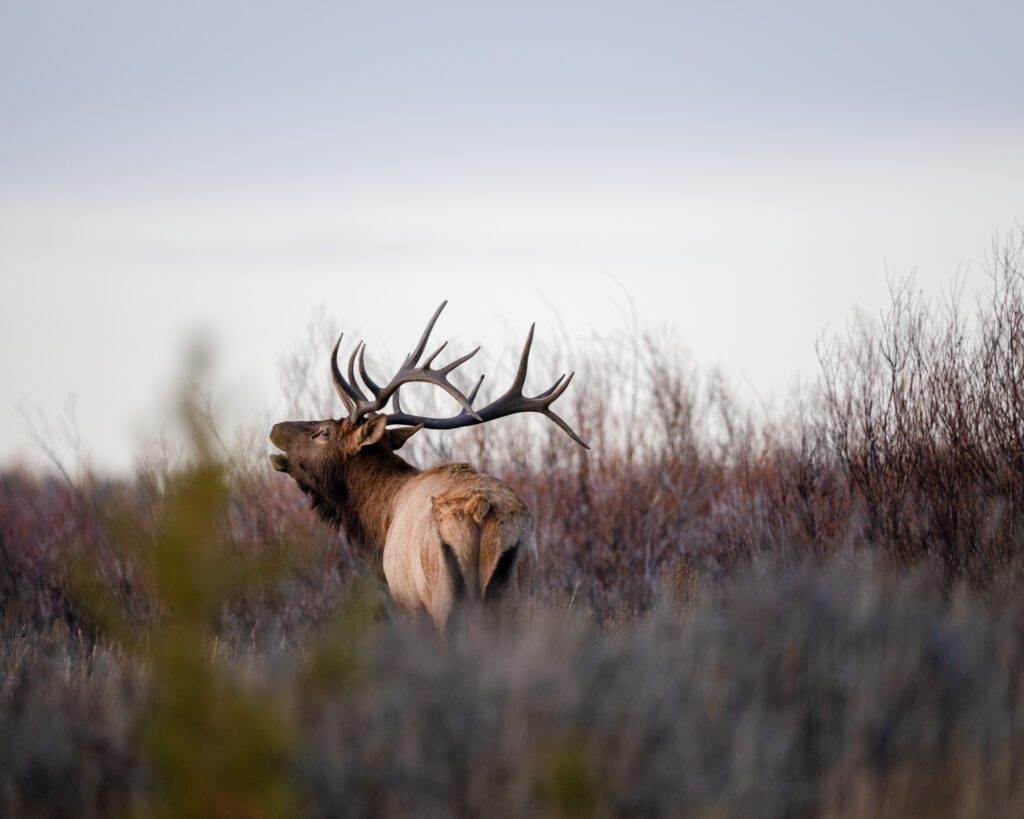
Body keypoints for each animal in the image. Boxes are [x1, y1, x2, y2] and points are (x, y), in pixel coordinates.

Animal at [269, 301, 587, 633]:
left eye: (324, 432)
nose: (276, 428)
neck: (381, 519)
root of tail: (480, 508)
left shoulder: (405, 598)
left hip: (444, 595)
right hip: (515, 591)